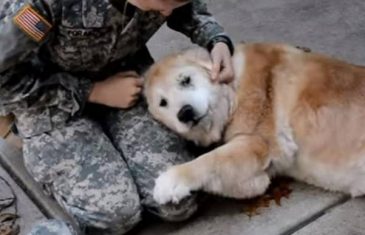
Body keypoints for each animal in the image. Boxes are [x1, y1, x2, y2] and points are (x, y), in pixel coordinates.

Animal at [144, 43, 364, 205]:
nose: (185, 113)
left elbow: (208, 160)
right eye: (163, 102)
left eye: (185, 80)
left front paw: (168, 182)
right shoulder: (255, 178)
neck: (234, 88)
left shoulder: (258, 144)